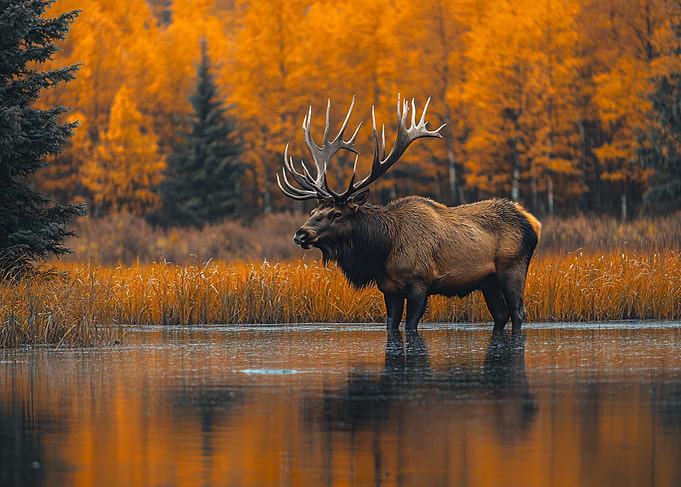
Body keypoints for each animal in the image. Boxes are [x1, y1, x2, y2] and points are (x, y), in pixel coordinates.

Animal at [277, 95, 541, 332]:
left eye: (336, 213)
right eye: (314, 210)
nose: (300, 235)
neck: (382, 251)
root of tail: (534, 222)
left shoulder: (419, 282)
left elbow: (411, 326)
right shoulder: (389, 289)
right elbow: (392, 326)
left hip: (512, 269)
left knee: (518, 312)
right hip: (488, 281)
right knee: (501, 314)